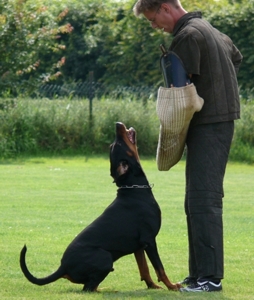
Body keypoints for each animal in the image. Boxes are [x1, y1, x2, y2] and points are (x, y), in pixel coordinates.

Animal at [20, 122, 181, 290]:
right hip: (105, 256)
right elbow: (159, 268)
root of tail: (62, 267)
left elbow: (144, 269)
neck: (134, 190)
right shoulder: (149, 240)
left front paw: (152, 286)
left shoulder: (139, 246)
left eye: (113, 145)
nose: (117, 124)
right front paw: (172, 286)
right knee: (88, 288)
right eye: (117, 144)